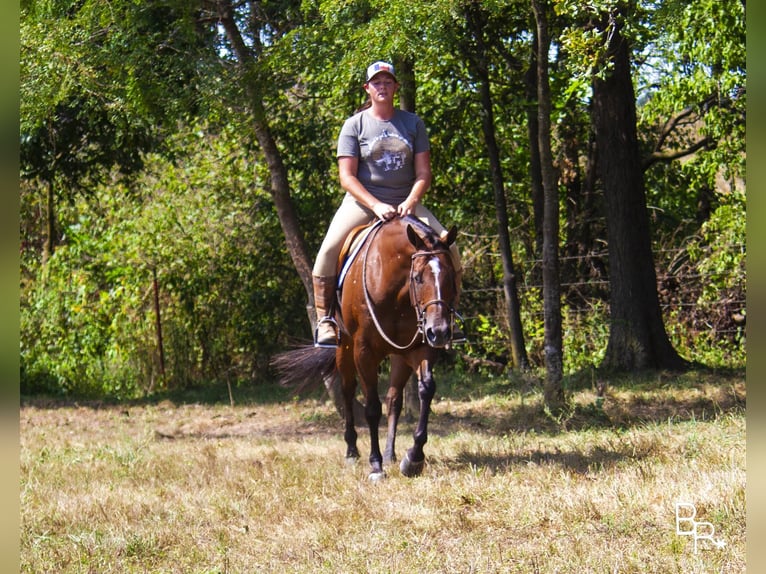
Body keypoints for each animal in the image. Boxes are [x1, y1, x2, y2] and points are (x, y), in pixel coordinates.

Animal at [272, 217, 460, 482]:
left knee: (394, 399)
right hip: (345, 349)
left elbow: (426, 390)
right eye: (417, 278)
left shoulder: (420, 347)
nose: (441, 331)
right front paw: (376, 465)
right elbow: (371, 408)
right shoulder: (364, 351)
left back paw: (391, 454)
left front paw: (413, 458)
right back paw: (352, 451)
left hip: (400, 355)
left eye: (452, 276)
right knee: (348, 392)